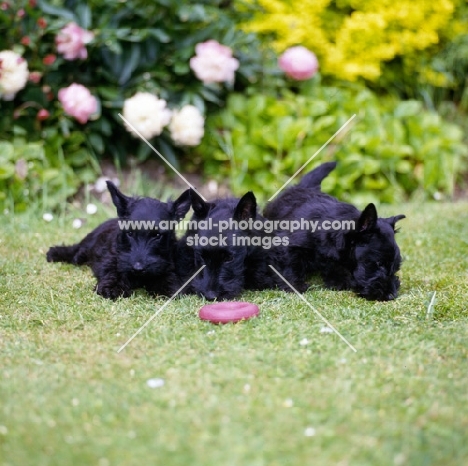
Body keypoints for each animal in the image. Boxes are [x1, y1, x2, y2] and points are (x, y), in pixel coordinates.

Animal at [47, 182, 192, 298]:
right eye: (130, 233)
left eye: (157, 235)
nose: (138, 268)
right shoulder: (112, 260)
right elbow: (114, 272)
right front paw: (111, 288)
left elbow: (167, 276)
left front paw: (167, 288)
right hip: (82, 252)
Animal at [264, 162, 406, 300]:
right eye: (379, 263)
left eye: (396, 267)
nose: (392, 295)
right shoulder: (288, 246)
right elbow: (291, 265)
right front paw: (295, 286)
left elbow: (333, 267)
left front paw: (338, 282)